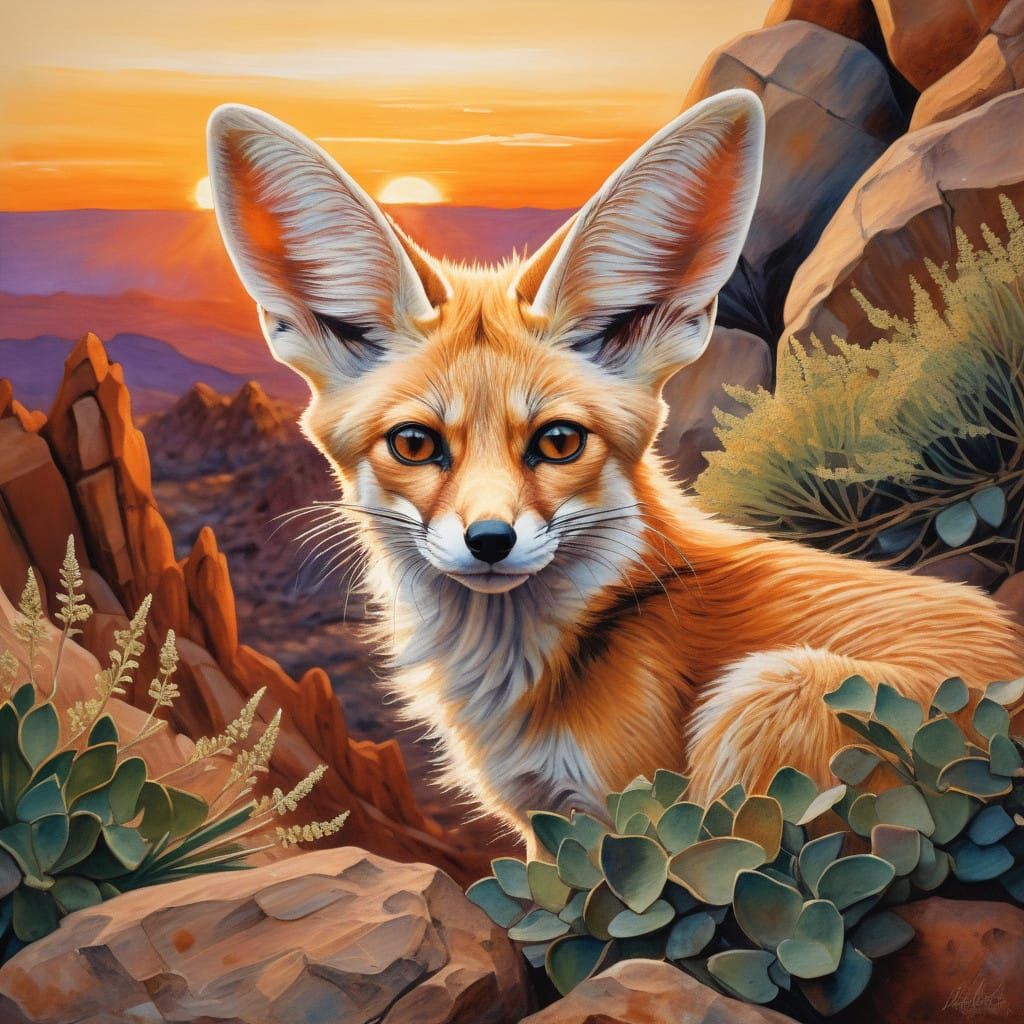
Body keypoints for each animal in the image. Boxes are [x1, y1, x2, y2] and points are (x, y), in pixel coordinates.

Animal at [206, 90, 1024, 850]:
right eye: (414, 444)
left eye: (559, 442)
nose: (490, 541)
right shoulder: (544, 822)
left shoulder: (626, 813)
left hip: (763, 695)